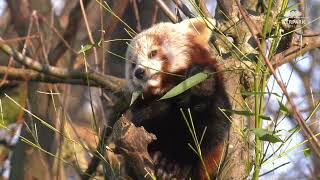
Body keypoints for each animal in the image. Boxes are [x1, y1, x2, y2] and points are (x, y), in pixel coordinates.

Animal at [124, 17, 231, 179]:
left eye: (152, 53)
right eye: (133, 64)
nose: (139, 72)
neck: (170, 89)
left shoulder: (213, 95)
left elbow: (208, 131)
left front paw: (172, 164)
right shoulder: (147, 109)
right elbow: (147, 126)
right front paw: (161, 159)